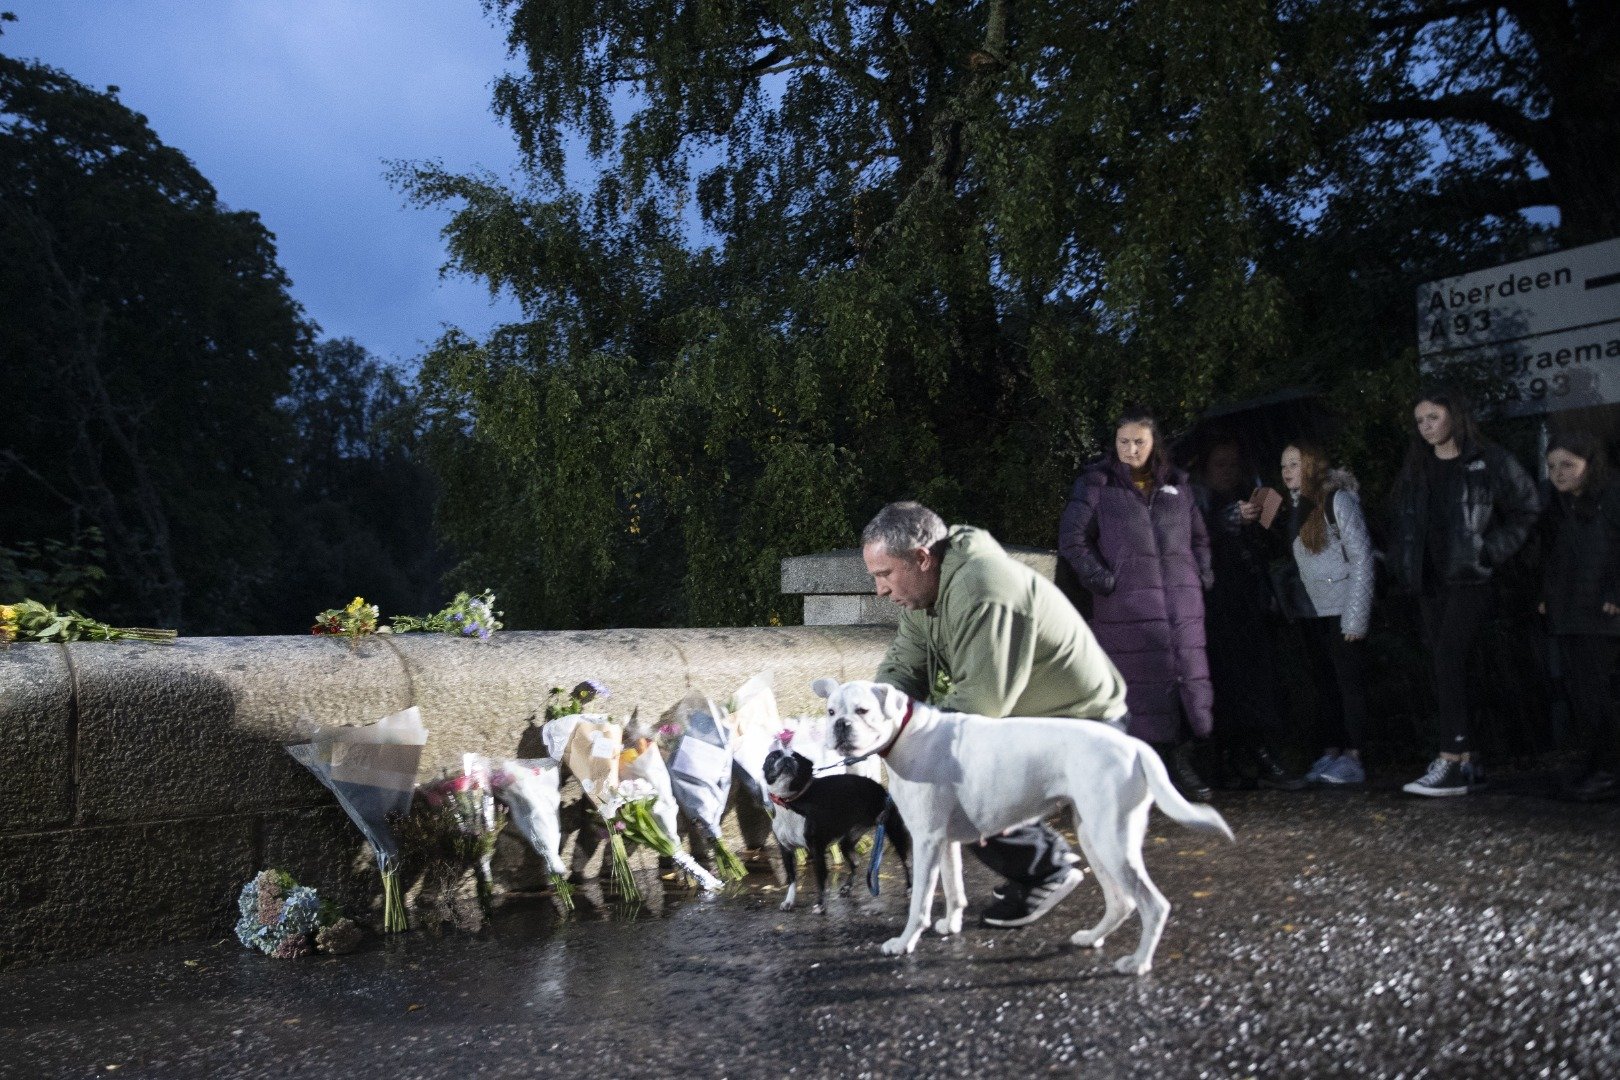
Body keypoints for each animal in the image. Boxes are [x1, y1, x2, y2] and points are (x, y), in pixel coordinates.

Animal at [761, 748, 913, 919]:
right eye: (773, 757)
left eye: (796, 757)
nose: (787, 759)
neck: (790, 802)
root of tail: (878, 786)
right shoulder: (785, 850)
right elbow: (792, 878)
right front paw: (789, 901)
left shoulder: (817, 850)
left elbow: (820, 879)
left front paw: (820, 905)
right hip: (846, 841)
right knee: (855, 862)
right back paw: (847, 887)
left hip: (894, 831)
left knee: (906, 861)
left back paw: (909, 888)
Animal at [816, 680, 1231, 977]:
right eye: (831, 710)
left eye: (863, 710)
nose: (840, 725)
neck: (907, 734)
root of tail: (1135, 747)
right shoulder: (944, 842)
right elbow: (954, 889)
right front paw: (951, 924)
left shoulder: (927, 840)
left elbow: (919, 902)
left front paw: (904, 943)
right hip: (1094, 837)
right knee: (1123, 901)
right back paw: (1093, 938)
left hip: (1112, 841)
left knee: (1153, 905)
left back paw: (1138, 963)